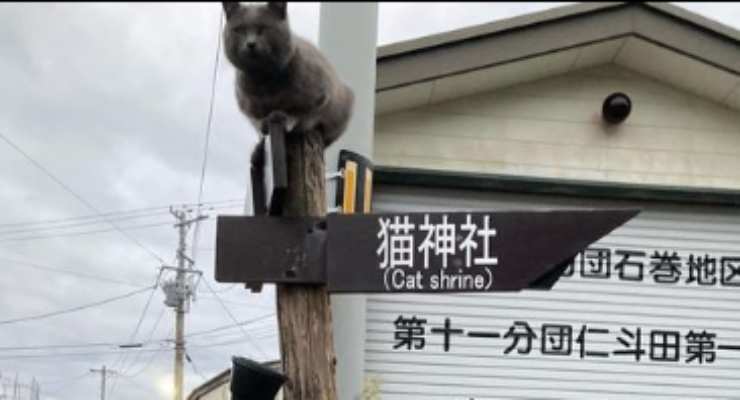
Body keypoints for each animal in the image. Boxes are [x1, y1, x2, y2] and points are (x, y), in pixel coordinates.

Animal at [221, 1, 354, 148]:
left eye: (263, 28)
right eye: (239, 30)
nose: (250, 43)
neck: (264, 81)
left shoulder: (321, 96)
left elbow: (300, 112)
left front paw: (287, 118)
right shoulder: (247, 106)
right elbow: (257, 118)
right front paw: (264, 123)